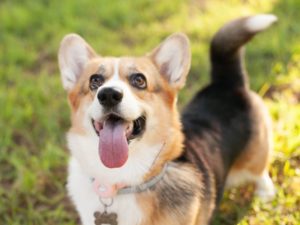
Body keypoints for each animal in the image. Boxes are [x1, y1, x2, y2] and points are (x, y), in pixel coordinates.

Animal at [58, 14, 276, 225]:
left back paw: (265, 192)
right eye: (95, 80)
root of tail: (226, 84)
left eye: (139, 80)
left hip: (257, 151)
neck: (121, 181)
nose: (109, 94)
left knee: (260, 170)